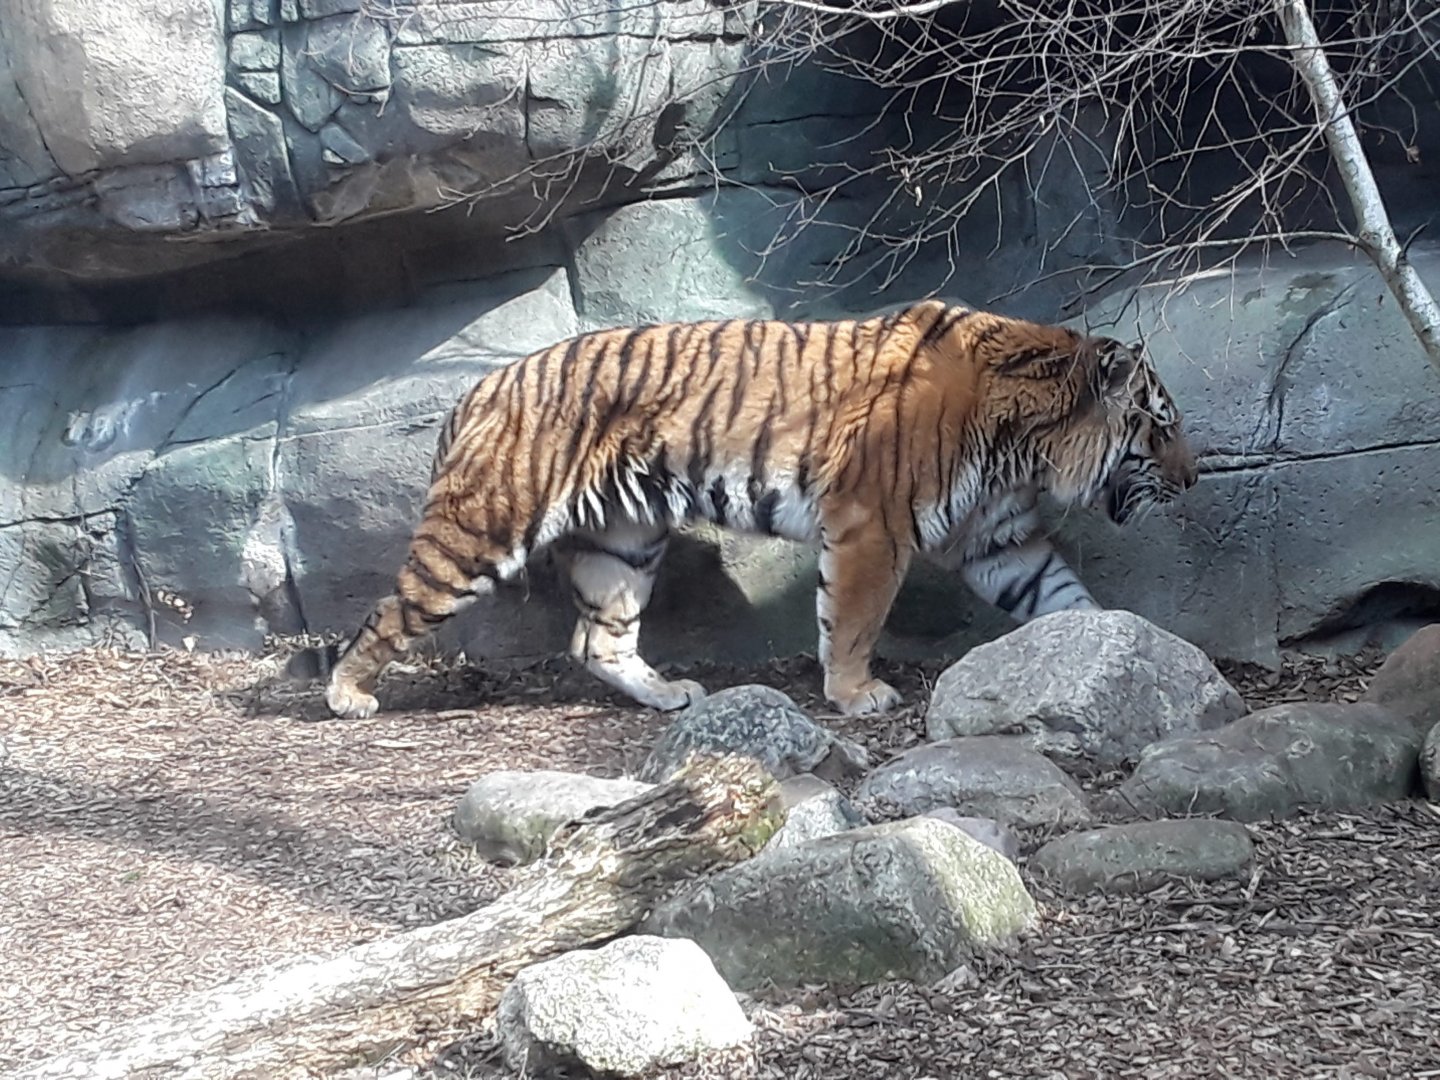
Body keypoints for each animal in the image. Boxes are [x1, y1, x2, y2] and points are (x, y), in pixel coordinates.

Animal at [322, 298, 1198, 721]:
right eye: (1160, 429)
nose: (1192, 480)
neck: (1025, 436)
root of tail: (477, 387)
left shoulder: (1000, 537)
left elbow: (1061, 596)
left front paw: (1120, 647)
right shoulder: (872, 524)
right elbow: (854, 619)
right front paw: (854, 694)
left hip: (624, 541)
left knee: (596, 641)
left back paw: (669, 694)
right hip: (482, 531)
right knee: (391, 610)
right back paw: (347, 694)